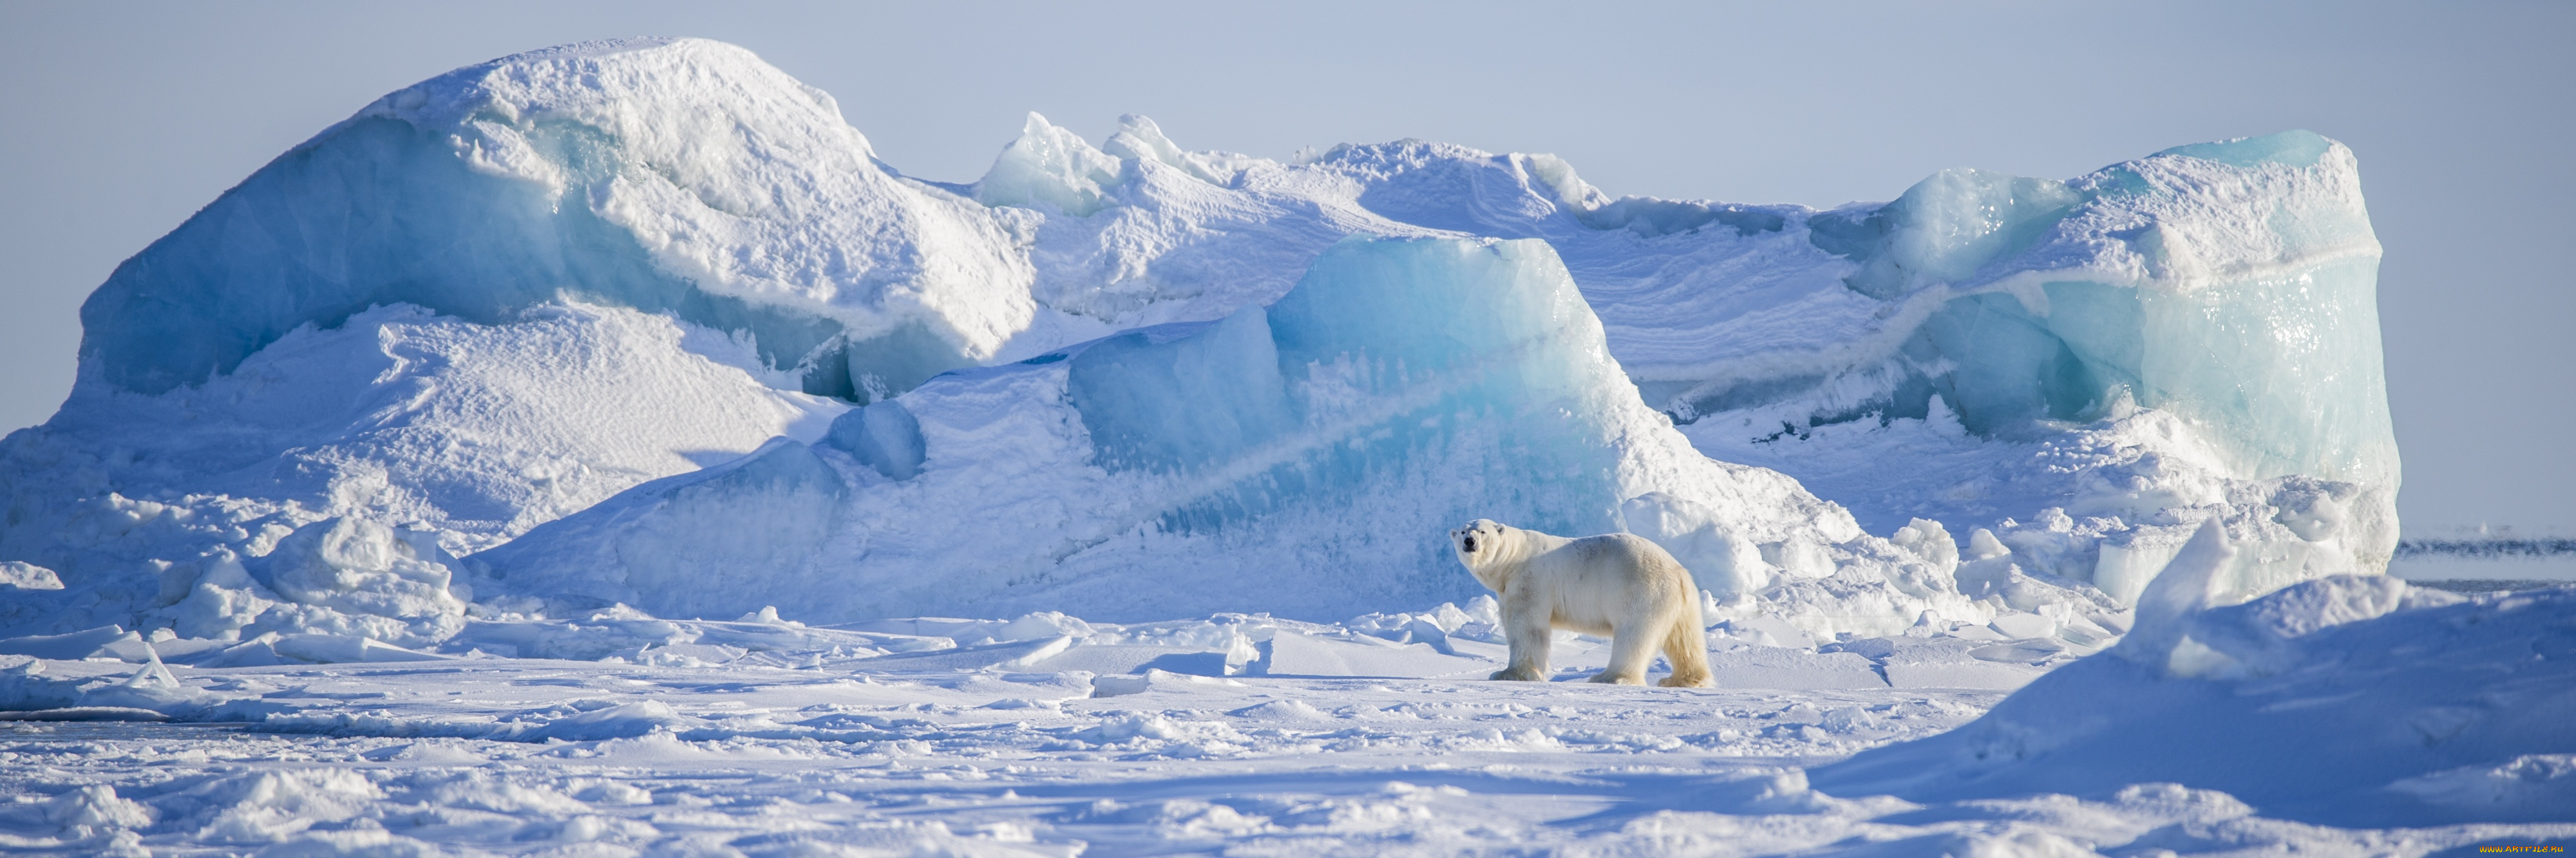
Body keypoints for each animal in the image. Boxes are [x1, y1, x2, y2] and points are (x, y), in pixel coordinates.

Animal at [1453, 518, 1710, 685]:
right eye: (1463, 532)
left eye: (1482, 532)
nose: (1470, 542)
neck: (1512, 559)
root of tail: (1678, 572)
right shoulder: (1506, 589)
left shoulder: (1531, 579)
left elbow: (1526, 627)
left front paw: (1508, 674)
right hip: (1682, 602)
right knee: (1685, 637)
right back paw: (1684, 679)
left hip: (1639, 590)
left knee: (1634, 634)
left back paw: (1609, 677)